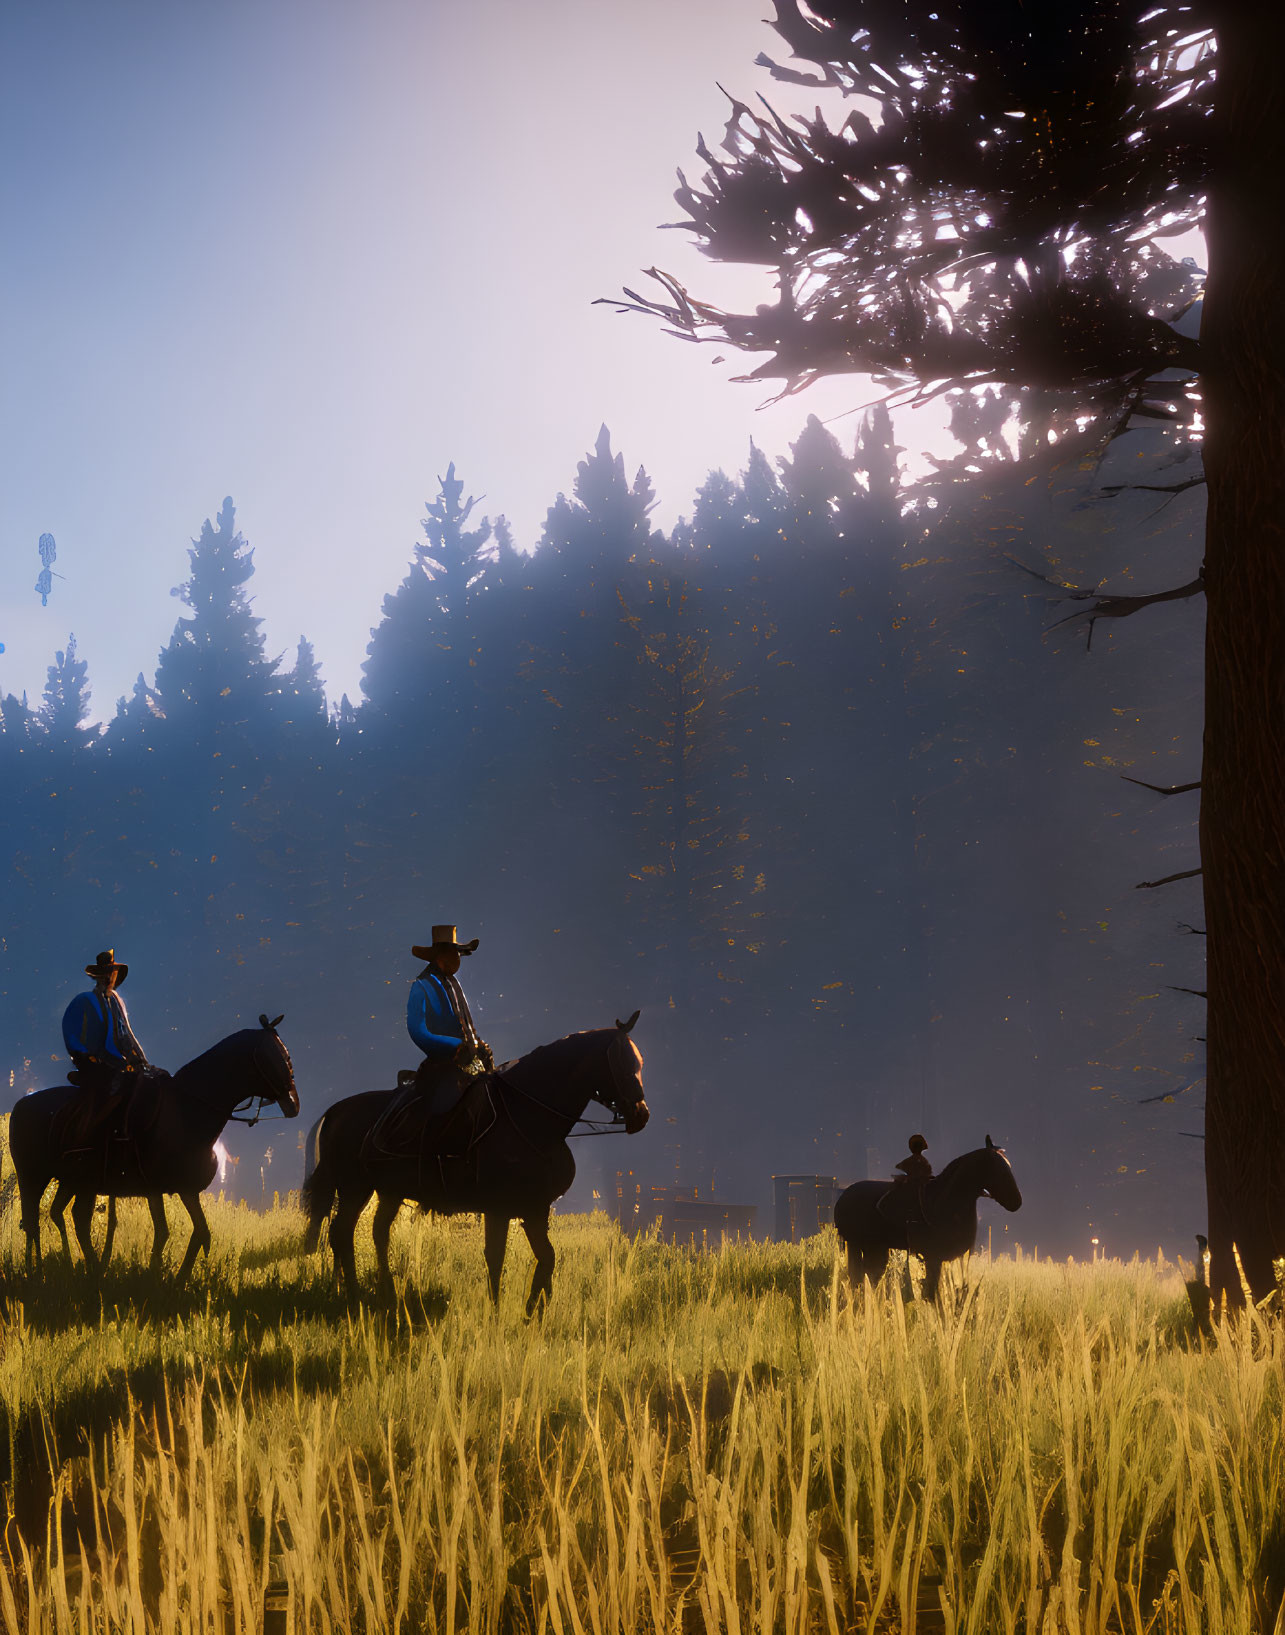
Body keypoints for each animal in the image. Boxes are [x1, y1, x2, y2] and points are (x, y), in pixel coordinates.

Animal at [11, 1013, 295, 1281]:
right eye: (277, 1056)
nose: (293, 1103)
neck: (187, 1110)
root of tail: (21, 1105)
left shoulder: (183, 1190)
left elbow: (196, 1232)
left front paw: (176, 1277)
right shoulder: (159, 1188)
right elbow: (167, 1232)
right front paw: (158, 1274)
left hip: (71, 1181)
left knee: (57, 1214)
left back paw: (70, 1267)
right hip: (37, 1178)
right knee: (45, 1221)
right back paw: (51, 1270)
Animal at [295, 1007, 647, 1314]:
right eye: (622, 1064)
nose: (641, 1115)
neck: (529, 1115)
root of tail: (336, 1110)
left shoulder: (536, 1208)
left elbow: (547, 1257)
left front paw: (534, 1312)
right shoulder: (499, 1209)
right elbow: (496, 1258)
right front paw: (496, 1314)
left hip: (387, 1191)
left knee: (377, 1233)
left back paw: (386, 1295)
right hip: (355, 1188)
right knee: (341, 1234)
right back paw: (354, 1295)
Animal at [830, 1137, 1020, 1301]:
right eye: (998, 1169)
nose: (1016, 1202)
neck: (946, 1199)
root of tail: (842, 1198)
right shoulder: (932, 1257)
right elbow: (931, 1293)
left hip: (876, 1248)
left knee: (868, 1278)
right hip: (862, 1246)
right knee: (862, 1279)